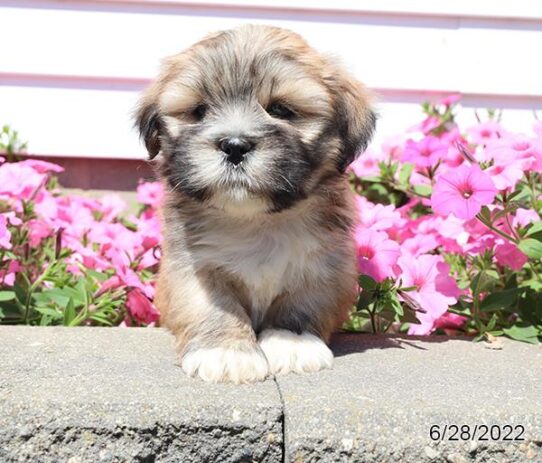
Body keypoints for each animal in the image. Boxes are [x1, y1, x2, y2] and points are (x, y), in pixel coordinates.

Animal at [135, 25, 378, 384]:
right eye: (199, 111)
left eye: (281, 110)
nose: (234, 145)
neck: (254, 220)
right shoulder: (192, 266)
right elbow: (214, 304)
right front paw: (225, 350)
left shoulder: (325, 265)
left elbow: (301, 302)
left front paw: (291, 341)